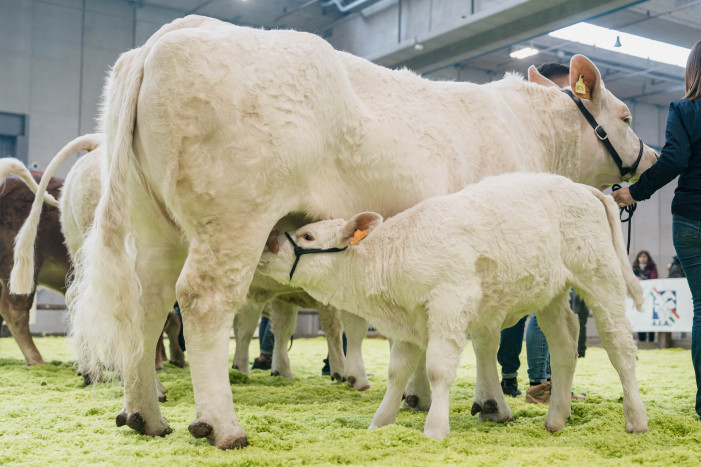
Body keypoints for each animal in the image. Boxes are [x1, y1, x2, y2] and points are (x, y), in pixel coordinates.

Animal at [10, 15, 656, 450]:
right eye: (626, 117)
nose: (649, 159)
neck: (530, 132)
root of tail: (165, 37)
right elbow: (487, 335)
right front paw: (489, 403)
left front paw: (418, 398)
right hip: (232, 219)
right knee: (202, 304)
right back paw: (220, 424)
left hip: (157, 231)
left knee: (146, 309)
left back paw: (144, 413)